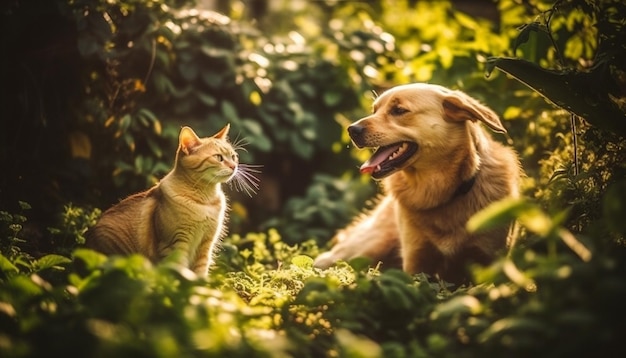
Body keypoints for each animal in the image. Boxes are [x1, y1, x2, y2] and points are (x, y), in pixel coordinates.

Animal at [84, 124, 258, 276]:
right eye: (218, 157)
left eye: (233, 156)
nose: (234, 166)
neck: (204, 201)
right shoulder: (175, 245)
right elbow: (179, 273)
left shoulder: (206, 246)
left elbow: (200, 274)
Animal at [312, 82, 520, 284]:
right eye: (374, 110)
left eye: (398, 110)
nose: (351, 129)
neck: (440, 192)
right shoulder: (416, 261)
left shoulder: (490, 261)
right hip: (365, 246)